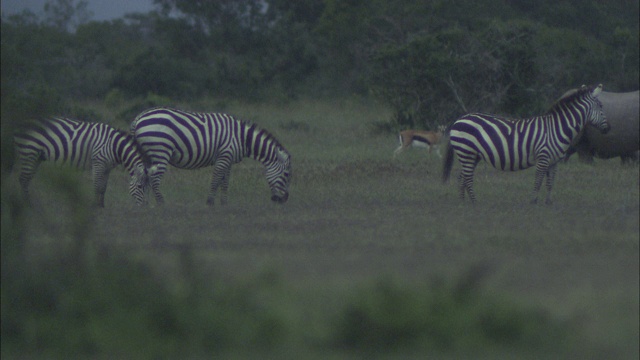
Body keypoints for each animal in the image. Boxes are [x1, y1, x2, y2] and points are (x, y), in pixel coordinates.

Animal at [15, 117, 151, 207]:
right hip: (29, 152)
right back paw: (27, 203)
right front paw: (95, 207)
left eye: (147, 187)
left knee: (26, 179)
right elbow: (97, 186)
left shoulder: (107, 168)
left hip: (36, 156)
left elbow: (103, 187)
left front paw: (101, 206)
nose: (144, 207)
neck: (113, 146)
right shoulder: (98, 163)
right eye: (140, 186)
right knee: (23, 179)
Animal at [130, 107, 292, 205]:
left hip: (148, 155)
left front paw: (224, 204)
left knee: (144, 178)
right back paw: (162, 204)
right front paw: (210, 203)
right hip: (160, 151)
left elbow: (225, 182)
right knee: (154, 179)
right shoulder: (224, 155)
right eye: (286, 174)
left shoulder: (229, 159)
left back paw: (147, 204)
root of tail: (138, 118)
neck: (241, 138)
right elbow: (216, 180)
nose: (284, 200)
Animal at [442, 82, 608, 204]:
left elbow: (550, 183)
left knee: (462, 178)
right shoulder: (543, 157)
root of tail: (460, 119)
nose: (609, 128)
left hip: (471, 155)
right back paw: (475, 202)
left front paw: (548, 203)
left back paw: (464, 202)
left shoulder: (554, 162)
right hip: (466, 151)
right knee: (468, 178)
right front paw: (533, 201)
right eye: (601, 106)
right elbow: (538, 181)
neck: (557, 128)